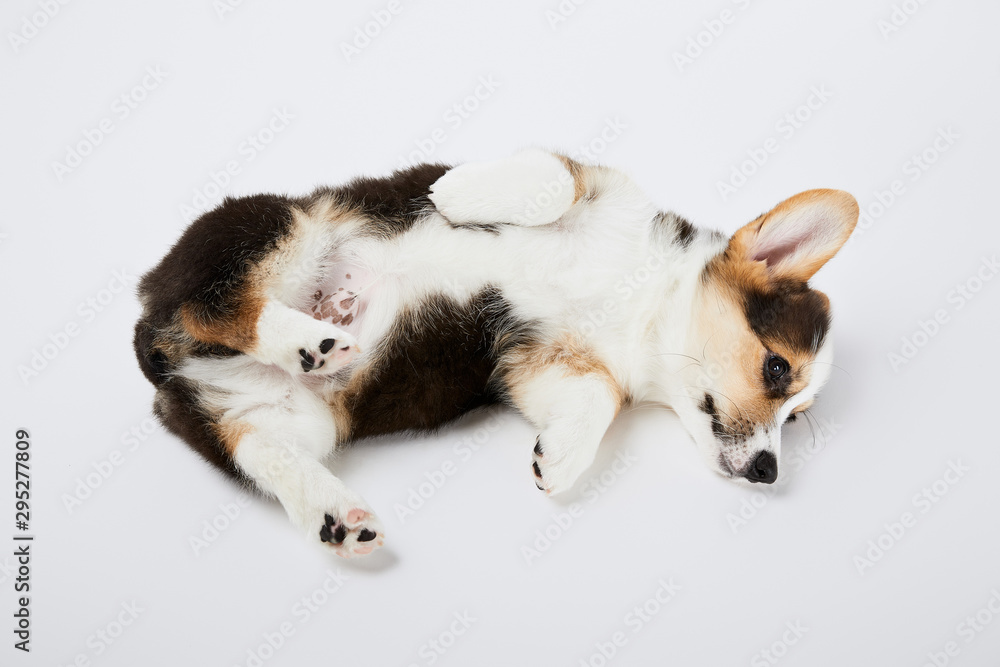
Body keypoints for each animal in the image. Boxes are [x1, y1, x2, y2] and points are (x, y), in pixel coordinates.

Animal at [133, 150, 860, 560]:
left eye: (797, 418)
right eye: (776, 369)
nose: (768, 471)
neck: (644, 302)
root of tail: (157, 346)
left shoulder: (538, 362)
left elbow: (597, 398)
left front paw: (558, 460)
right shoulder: (596, 185)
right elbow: (554, 178)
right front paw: (455, 192)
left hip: (295, 417)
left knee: (261, 449)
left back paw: (337, 515)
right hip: (284, 231)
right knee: (216, 303)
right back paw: (307, 338)